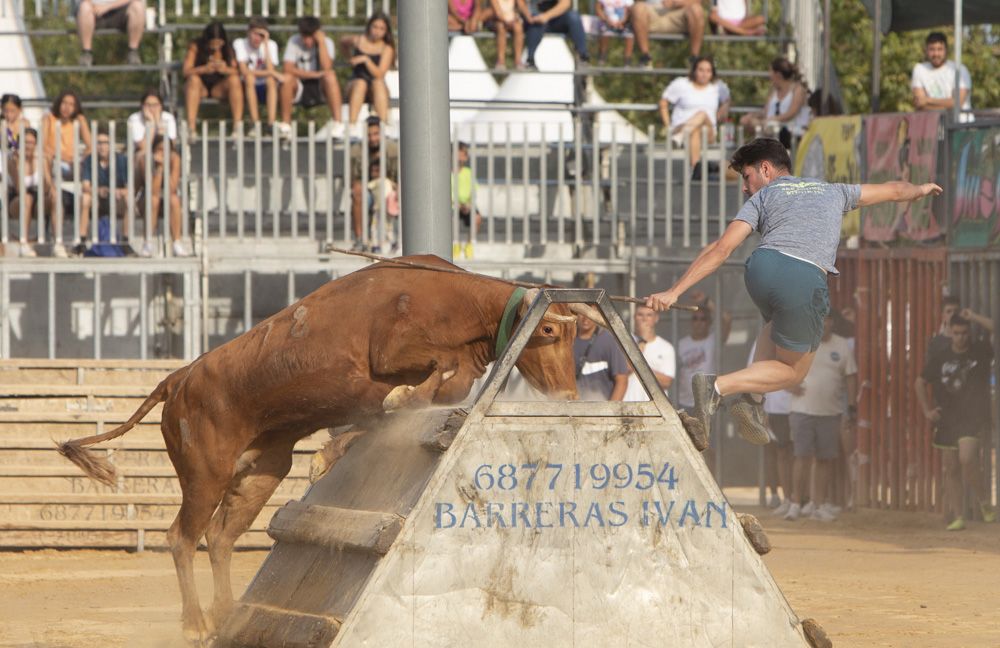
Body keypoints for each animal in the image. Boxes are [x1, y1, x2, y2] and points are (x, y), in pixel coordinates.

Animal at [58, 256, 592, 644]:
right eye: (547, 332)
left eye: (573, 336)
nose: (569, 395)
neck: (449, 301)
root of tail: (180, 377)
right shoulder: (394, 352)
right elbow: (421, 378)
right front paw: (388, 405)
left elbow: (396, 407)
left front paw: (328, 453)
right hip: (204, 473)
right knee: (181, 537)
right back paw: (195, 623)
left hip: (260, 472)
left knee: (221, 538)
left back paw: (227, 614)